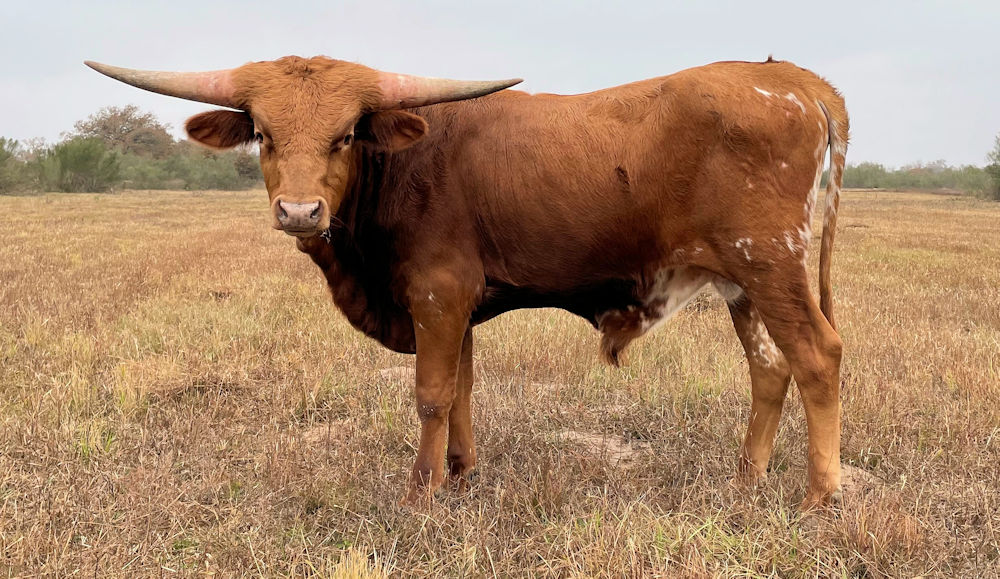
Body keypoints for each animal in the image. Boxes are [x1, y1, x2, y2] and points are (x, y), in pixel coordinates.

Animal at [86, 55, 848, 508]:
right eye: (265, 134)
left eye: (345, 134)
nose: (300, 212)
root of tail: (792, 79)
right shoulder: (458, 306)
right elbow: (462, 387)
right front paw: (462, 471)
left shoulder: (438, 293)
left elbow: (431, 393)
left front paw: (421, 492)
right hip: (741, 281)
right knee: (770, 368)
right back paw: (746, 478)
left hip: (771, 263)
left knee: (816, 357)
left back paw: (818, 496)